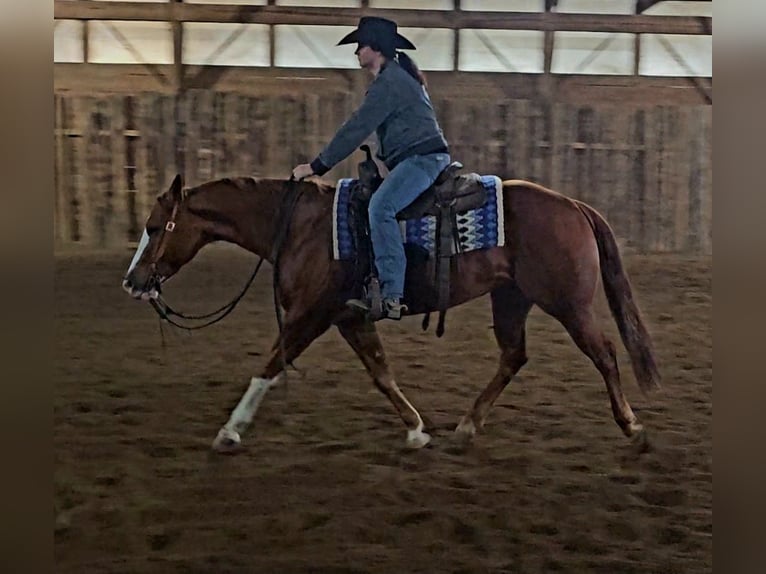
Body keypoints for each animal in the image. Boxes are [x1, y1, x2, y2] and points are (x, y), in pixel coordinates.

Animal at [122, 173, 660, 453]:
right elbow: (381, 372)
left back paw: (631, 425)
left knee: (605, 353)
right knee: (514, 356)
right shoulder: (349, 317)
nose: (132, 282)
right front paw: (417, 429)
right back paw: (467, 424)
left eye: (155, 226)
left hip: (568, 303)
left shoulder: (309, 316)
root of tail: (574, 204)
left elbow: (268, 367)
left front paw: (229, 430)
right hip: (511, 298)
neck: (300, 226)